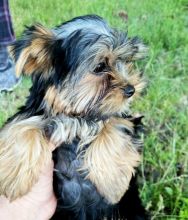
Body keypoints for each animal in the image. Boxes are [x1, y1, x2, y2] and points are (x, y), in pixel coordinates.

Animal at [0, 14, 148, 219]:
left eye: (124, 61)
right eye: (100, 67)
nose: (131, 89)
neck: (77, 116)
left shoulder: (124, 116)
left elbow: (114, 122)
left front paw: (112, 183)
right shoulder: (36, 111)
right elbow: (20, 124)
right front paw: (13, 176)